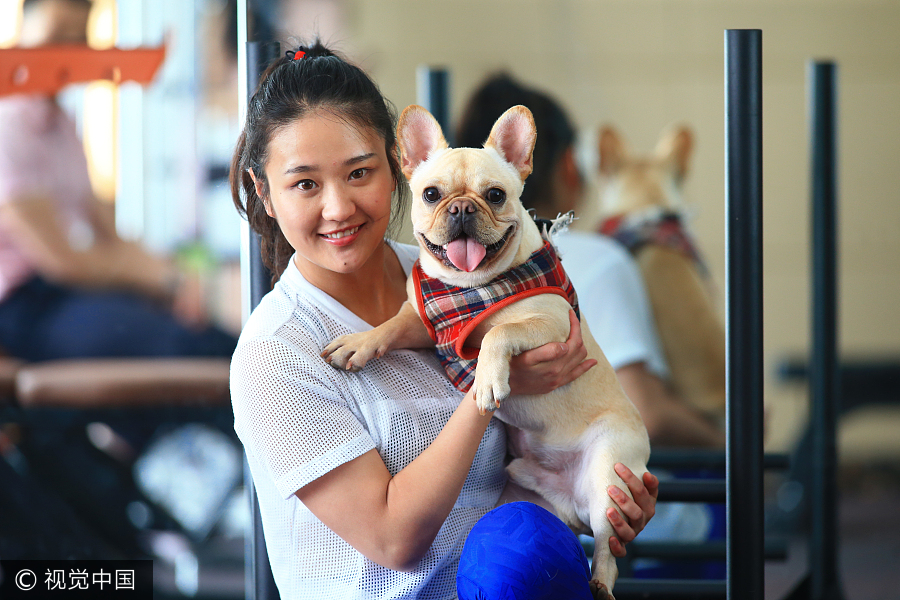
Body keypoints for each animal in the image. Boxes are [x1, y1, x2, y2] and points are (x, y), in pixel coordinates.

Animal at [324, 105, 648, 596]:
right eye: (432, 194)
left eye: (495, 195)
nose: (460, 207)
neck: (472, 287)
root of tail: (570, 502)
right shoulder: (426, 325)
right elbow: (393, 325)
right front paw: (359, 344)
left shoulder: (552, 322)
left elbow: (499, 333)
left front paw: (488, 381)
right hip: (524, 496)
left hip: (610, 474)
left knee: (608, 550)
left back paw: (599, 585)